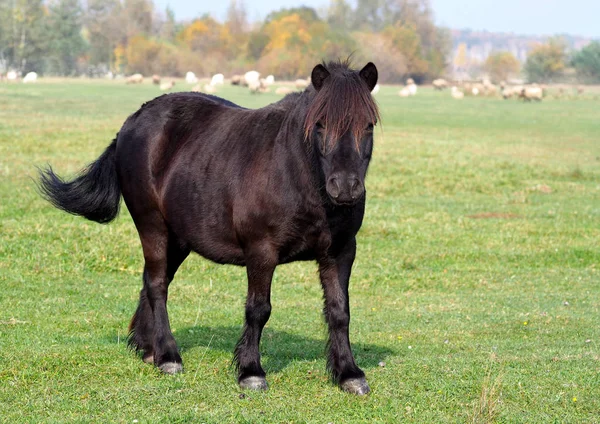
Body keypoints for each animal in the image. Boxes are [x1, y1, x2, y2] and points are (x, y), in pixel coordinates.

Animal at [39, 58, 380, 394]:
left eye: (368, 125)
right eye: (320, 125)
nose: (345, 187)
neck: (296, 174)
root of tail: (131, 123)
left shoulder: (340, 252)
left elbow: (339, 311)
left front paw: (349, 374)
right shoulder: (261, 251)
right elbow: (258, 309)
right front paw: (250, 372)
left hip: (178, 239)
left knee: (151, 281)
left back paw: (147, 348)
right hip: (153, 228)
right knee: (157, 285)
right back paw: (168, 356)